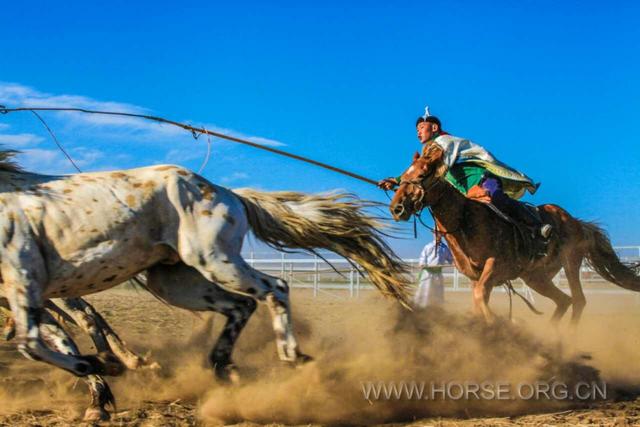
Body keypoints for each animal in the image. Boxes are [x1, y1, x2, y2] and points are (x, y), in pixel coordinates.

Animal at [0, 153, 410, 422]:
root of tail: (228, 192)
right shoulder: (27, 295)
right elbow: (46, 339)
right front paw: (101, 384)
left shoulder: (27, 283)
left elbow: (33, 343)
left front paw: (102, 367)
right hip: (176, 280)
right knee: (241, 306)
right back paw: (223, 365)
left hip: (213, 260)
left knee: (274, 287)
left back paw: (292, 356)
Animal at [388, 147, 640, 324]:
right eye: (403, 175)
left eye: (423, 174)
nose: (397, 208)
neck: (466, 221)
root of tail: (577, 222)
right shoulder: (475, 276)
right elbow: (478, 299)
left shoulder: (496, 265)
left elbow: (480, 296)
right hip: (536, 277)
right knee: (564, 300)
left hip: (570, 261)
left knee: (578, 300)